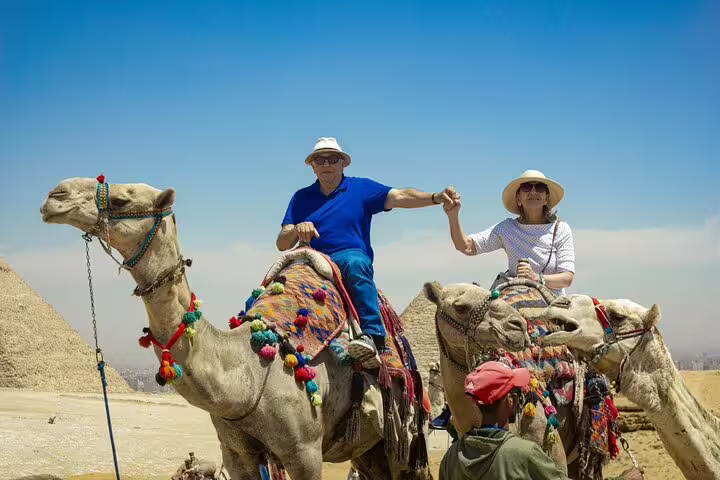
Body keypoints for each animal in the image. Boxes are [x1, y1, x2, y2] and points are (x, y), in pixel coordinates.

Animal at [41, 177, 430, 480]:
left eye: (122, 199)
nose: (55, 196)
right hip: (367, 446)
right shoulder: (236, 453)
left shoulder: (304, 451)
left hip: (402, 434)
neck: (250, 371)